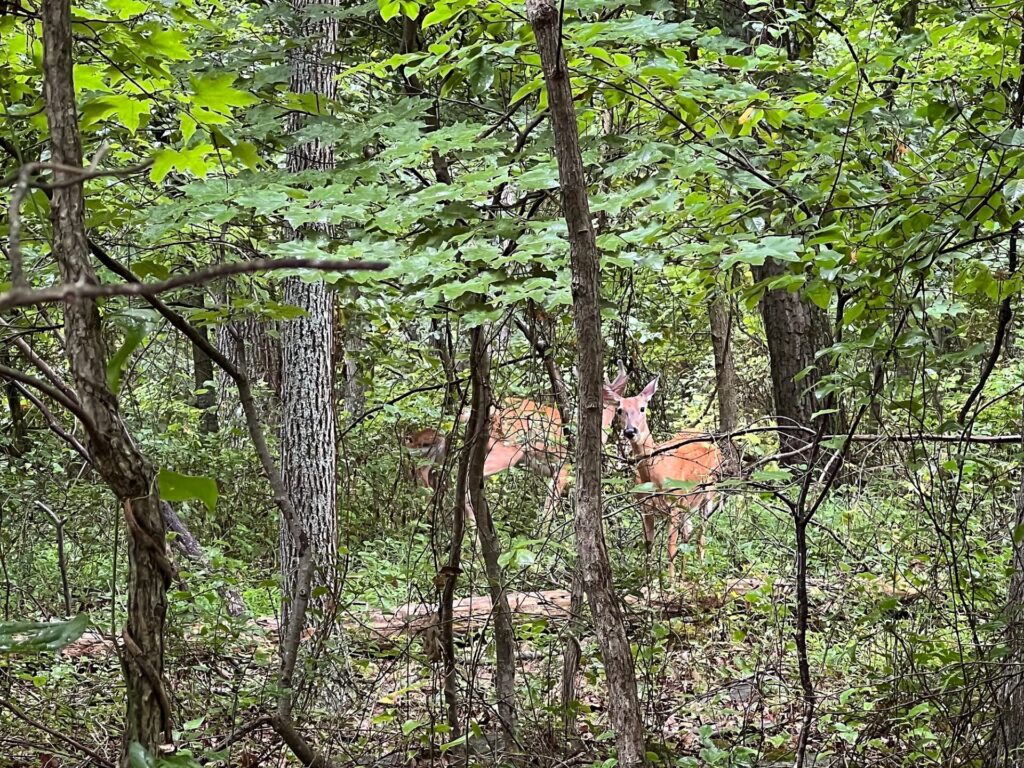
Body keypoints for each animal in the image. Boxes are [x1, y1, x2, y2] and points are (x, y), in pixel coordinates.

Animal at [603, 377, 722, 580]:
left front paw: (670, 581)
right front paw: (648, 580)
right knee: (688, 533)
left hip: (710, 488)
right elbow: (648, 546)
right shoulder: (645, 508)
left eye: (643, 408)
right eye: (620, 410)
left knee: (702, 532)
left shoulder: (674, 504)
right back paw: (684, 575)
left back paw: (700, 572)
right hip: (687, 502)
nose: (630, 431)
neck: (655, 474)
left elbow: (670, 546)